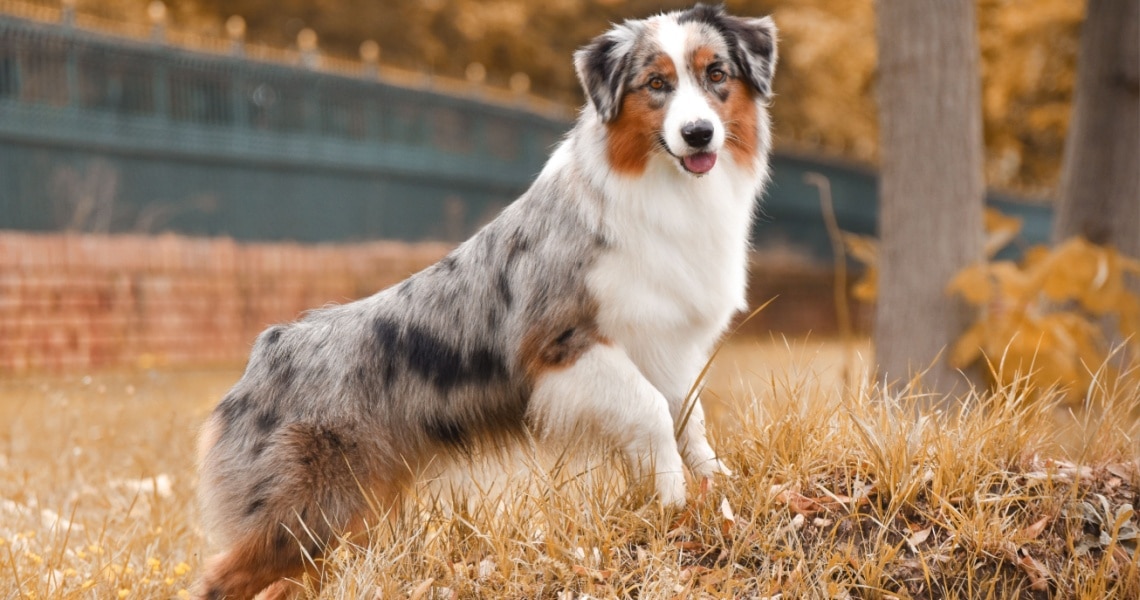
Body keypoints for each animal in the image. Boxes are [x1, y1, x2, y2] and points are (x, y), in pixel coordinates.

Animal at [193, 3, 775, 597]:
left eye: (717, 74)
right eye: (656, 84)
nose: (698, 134)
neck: (662, 187)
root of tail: (265, 350)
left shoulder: (668, 344)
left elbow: (689, 418)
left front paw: (719, 492)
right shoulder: (560, 344)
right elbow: (653, 410)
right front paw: (673, 504)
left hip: (342, 523)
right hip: (306, 514)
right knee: (218, 578)